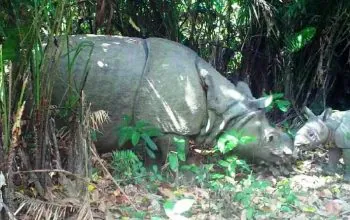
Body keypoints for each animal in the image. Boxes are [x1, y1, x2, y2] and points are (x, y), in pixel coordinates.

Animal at [52, 34, 292, 163]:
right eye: (270, 138)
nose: (292, 156)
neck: (224, 109)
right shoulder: (172, 126)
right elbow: (176, 155)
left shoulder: (154, 125)